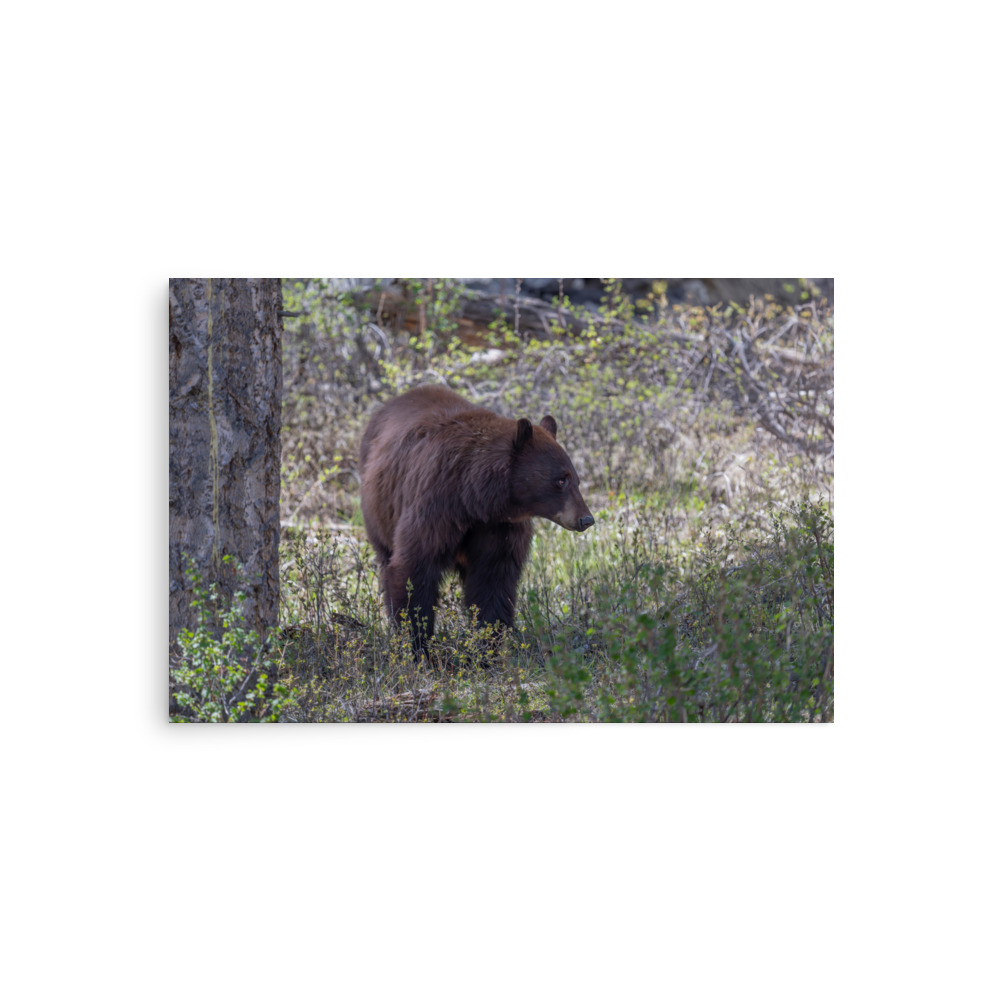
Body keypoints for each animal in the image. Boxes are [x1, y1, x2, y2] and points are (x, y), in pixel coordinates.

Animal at [359, 384, 594, 653]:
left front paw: (486, 647)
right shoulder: (435, 507)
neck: (475, 499)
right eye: (561, 480)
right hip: (378, 512)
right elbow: (414, 569)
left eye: (576, 479)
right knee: (386, 557)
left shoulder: (500, 527)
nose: (586, 519)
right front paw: (418, 645)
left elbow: (493, 581)